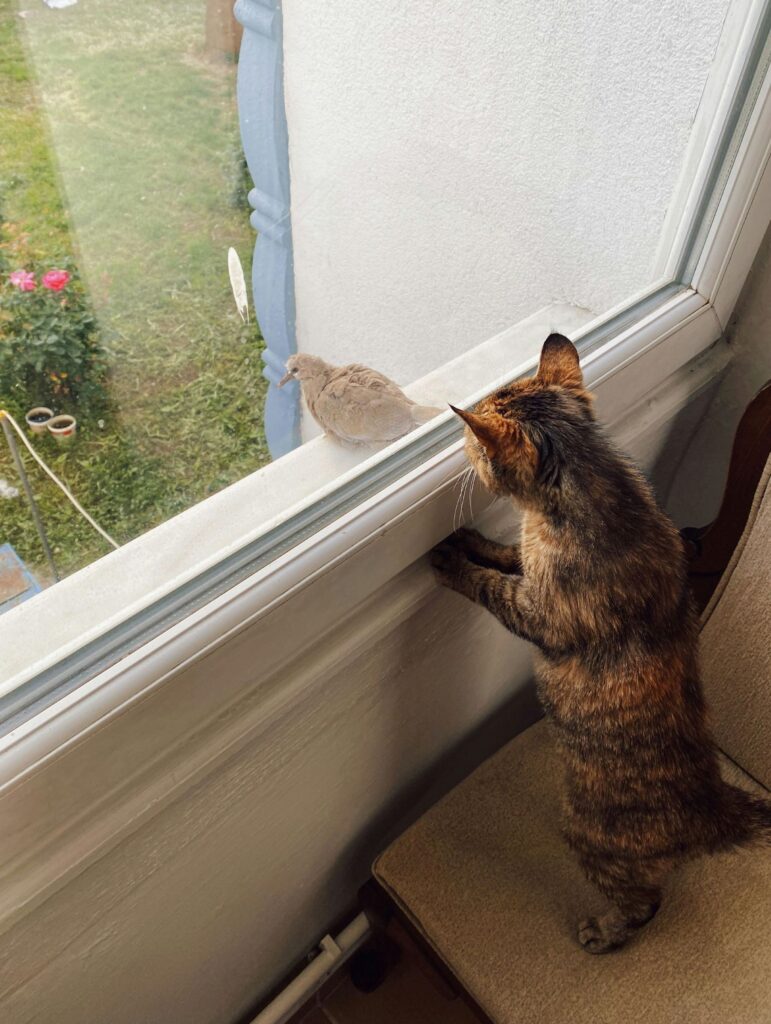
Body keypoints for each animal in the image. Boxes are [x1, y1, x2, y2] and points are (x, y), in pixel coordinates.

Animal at [430, 333, 769, 950]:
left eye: (472, 440)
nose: (460, 446)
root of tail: (715, 810)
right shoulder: (530, 564)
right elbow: (507, 554)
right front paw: (470, 540)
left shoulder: (542, 615)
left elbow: (491, 584)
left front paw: (454, 562)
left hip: (593, 838)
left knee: (645, 905)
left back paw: (603, 933)